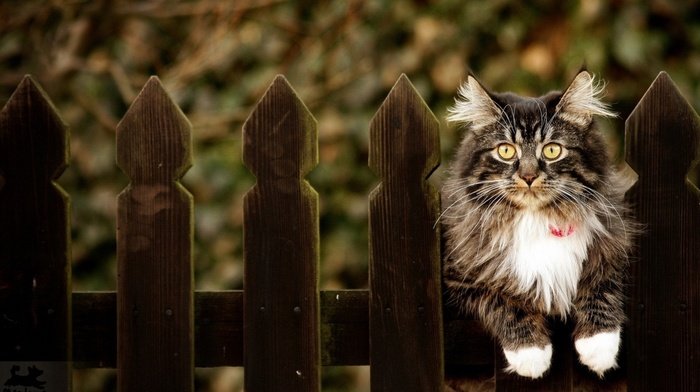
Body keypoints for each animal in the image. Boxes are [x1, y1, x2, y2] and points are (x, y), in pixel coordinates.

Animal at [442, 69, 636, 380]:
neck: (536, 220)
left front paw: (598, 345)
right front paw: (530, 353)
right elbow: (502, 300)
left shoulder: (615, 241)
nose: (529, 176)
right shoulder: (459, 275)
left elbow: (601, 282)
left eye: (553, 150)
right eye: (506, 151)